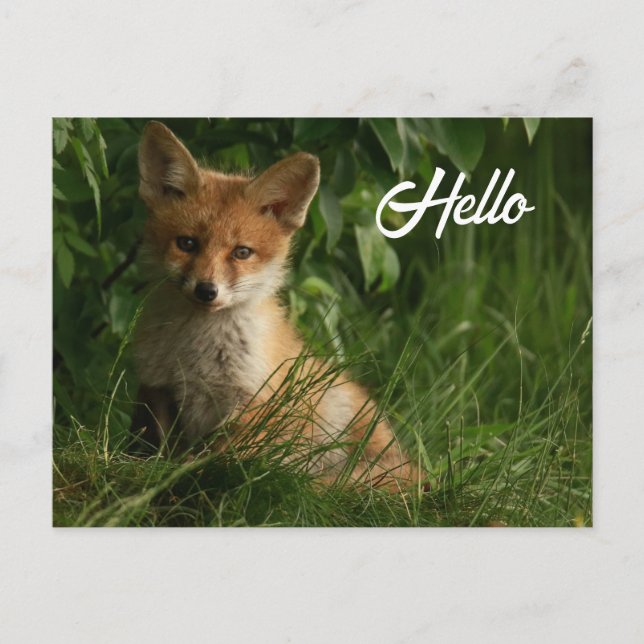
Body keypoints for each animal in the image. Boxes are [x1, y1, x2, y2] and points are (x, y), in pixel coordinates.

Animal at [129, 121, 423, 491]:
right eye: (187, 243)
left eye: (241, 252)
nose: (206, 290)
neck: (195, 352)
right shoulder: (158, 387)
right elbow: (158, 446)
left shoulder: (254, 401)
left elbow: (219, 458)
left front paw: (191, 474)